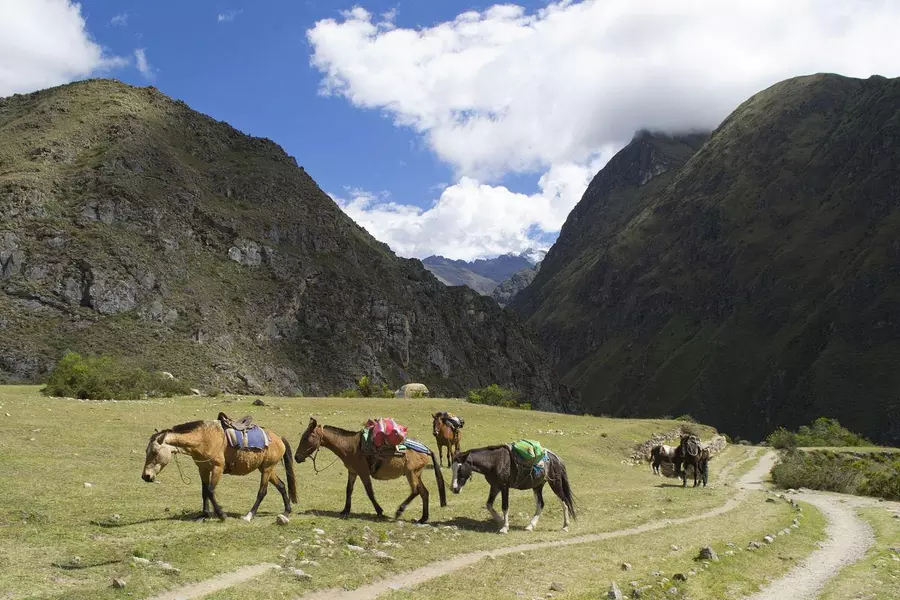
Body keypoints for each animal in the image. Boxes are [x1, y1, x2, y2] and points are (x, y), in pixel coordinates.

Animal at [141, 418, 296, 520]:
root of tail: (279, 439)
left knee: (262, 492)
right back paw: (286, 512)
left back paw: (249, 515)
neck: (203, 438)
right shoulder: (203, 469)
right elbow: (204, 491)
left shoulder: (218, 468)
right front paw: (204, 514)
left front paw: (222, 515)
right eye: (146, 451)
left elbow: (210, 491)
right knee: (282, 486)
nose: (146, 476)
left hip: (267, 469)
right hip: (266, 469)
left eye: (154, 452)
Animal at [296, 420, 446, 524]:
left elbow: (370, 492)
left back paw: (399, 511)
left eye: (305, 438)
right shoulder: (352, 472)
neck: (350, 446)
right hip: (416, 474)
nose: (296, 457)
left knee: (415, 491)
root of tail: (426, 449)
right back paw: (423, 518)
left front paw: (380, 512)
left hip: (411, 473)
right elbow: (348, 490)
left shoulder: (363, 473)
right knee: (424, 492)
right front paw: (345, 510)